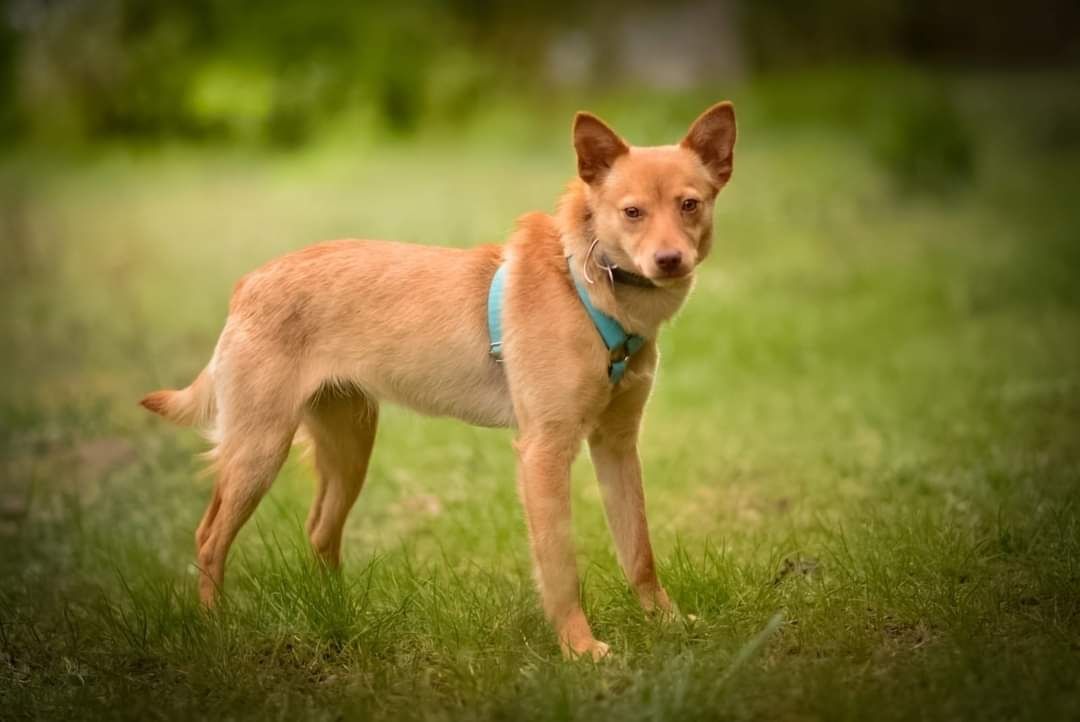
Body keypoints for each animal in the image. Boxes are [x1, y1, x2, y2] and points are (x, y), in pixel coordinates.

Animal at [141, 102, 734, 660]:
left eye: (690, 204)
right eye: (632, 212)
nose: (669, 260)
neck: (587, 288)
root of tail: (248, 284)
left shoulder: (616, 445)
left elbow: (639, 550)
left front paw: (667, 623)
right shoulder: (544, 452)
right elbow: (561, 566)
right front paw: (578, 649)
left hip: (349, 450)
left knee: (320, 532)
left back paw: (340, 615)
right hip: (260, 450)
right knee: (209, 538)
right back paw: (216, 628)